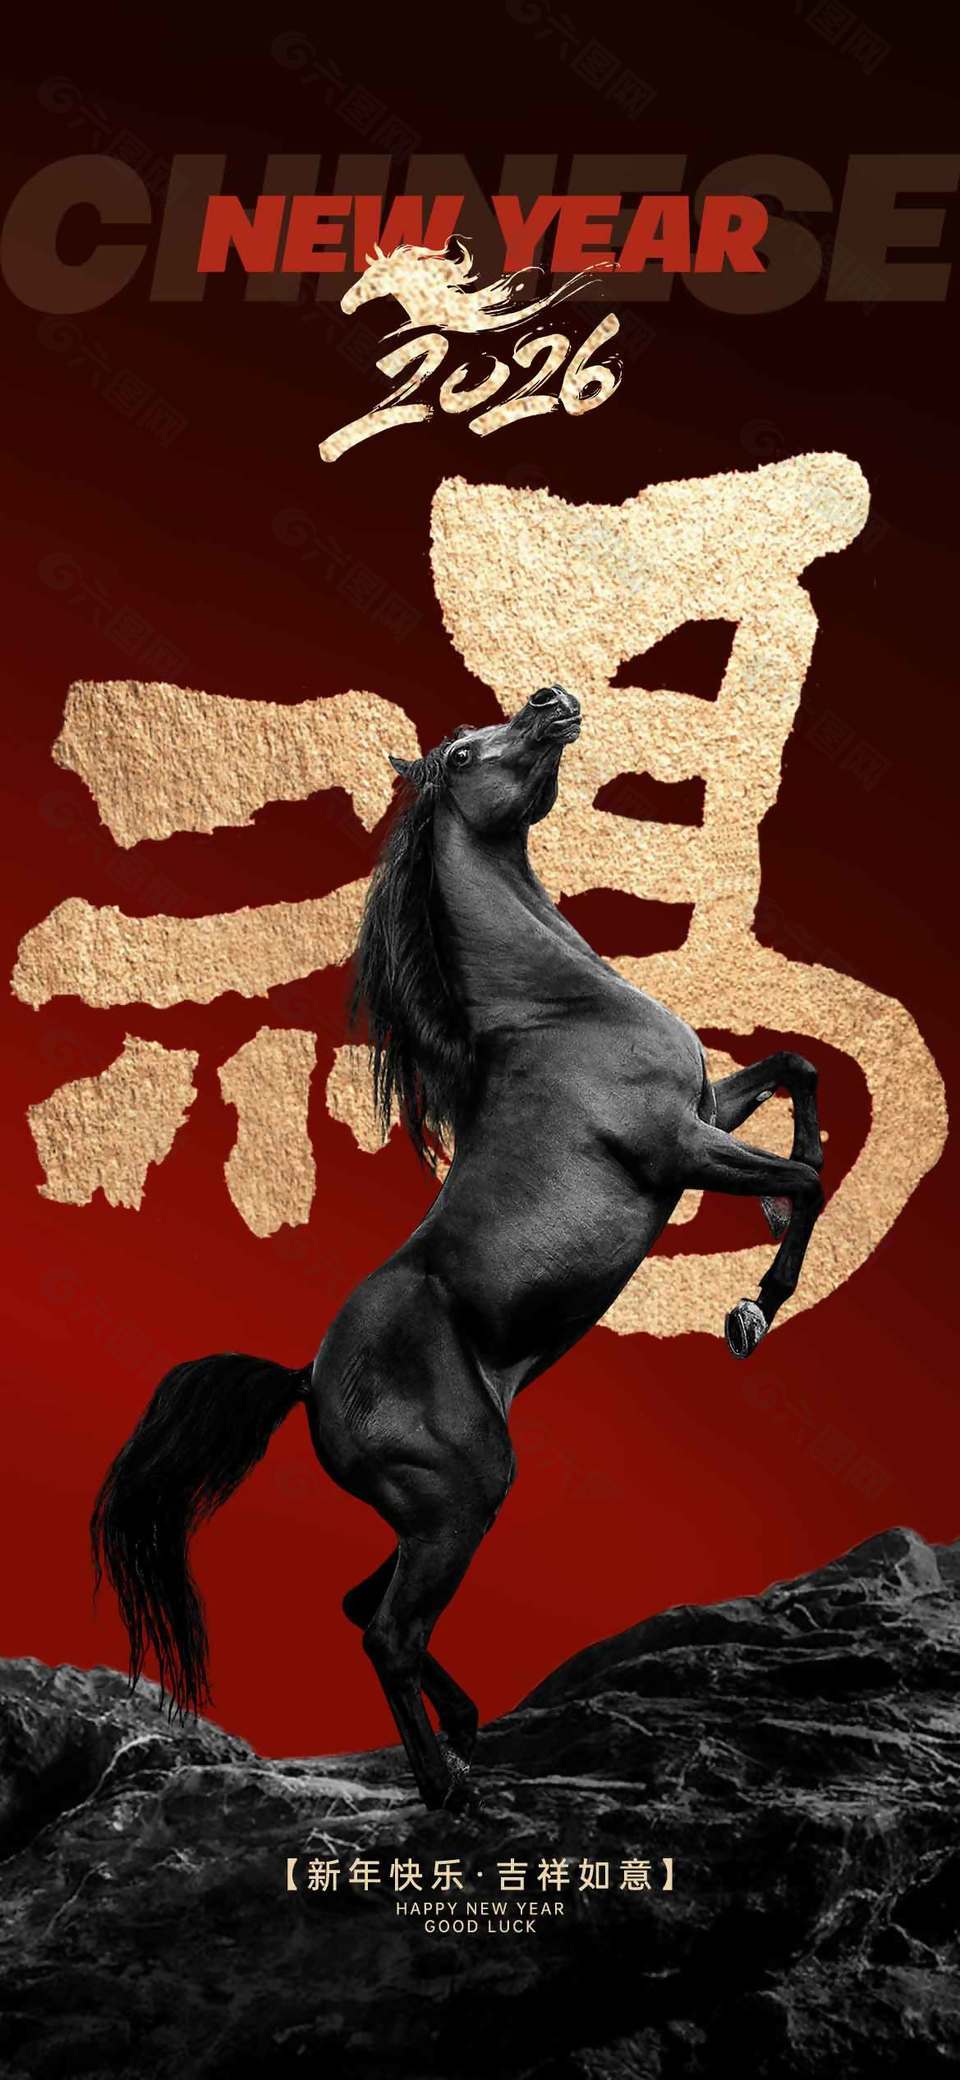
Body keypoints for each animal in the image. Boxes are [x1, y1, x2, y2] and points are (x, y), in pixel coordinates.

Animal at [91, 685, 824, 1815]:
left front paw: (772, 1235)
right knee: (386, 1629)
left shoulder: (707, 1114)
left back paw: (469, 1730)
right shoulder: (679, 1146)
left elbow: (795, 1073)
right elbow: (808, 1175)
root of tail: (306, 1379)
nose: (556, 700)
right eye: (474, 752)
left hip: (436, 1512)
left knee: (363, 1605)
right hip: (462, 1497)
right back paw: (450, 1787)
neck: (558, 1011)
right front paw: (753, 1306)